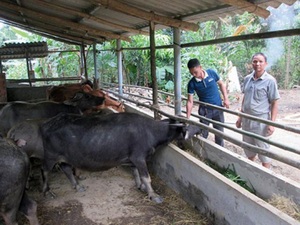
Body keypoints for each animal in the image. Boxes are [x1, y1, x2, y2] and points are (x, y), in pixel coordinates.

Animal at [39, 112, 199, 204]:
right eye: (188, 125)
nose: (199, 129)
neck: (150, 131)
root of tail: (46, 124)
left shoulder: (133, 159)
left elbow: (136, 173)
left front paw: (140, 186)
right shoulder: (139, 157)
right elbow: (147, 177)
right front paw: (153, 195)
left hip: (64, 157)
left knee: (66, 168)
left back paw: (77, 186)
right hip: (50, 156)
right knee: (45, 171)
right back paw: (47, 191)